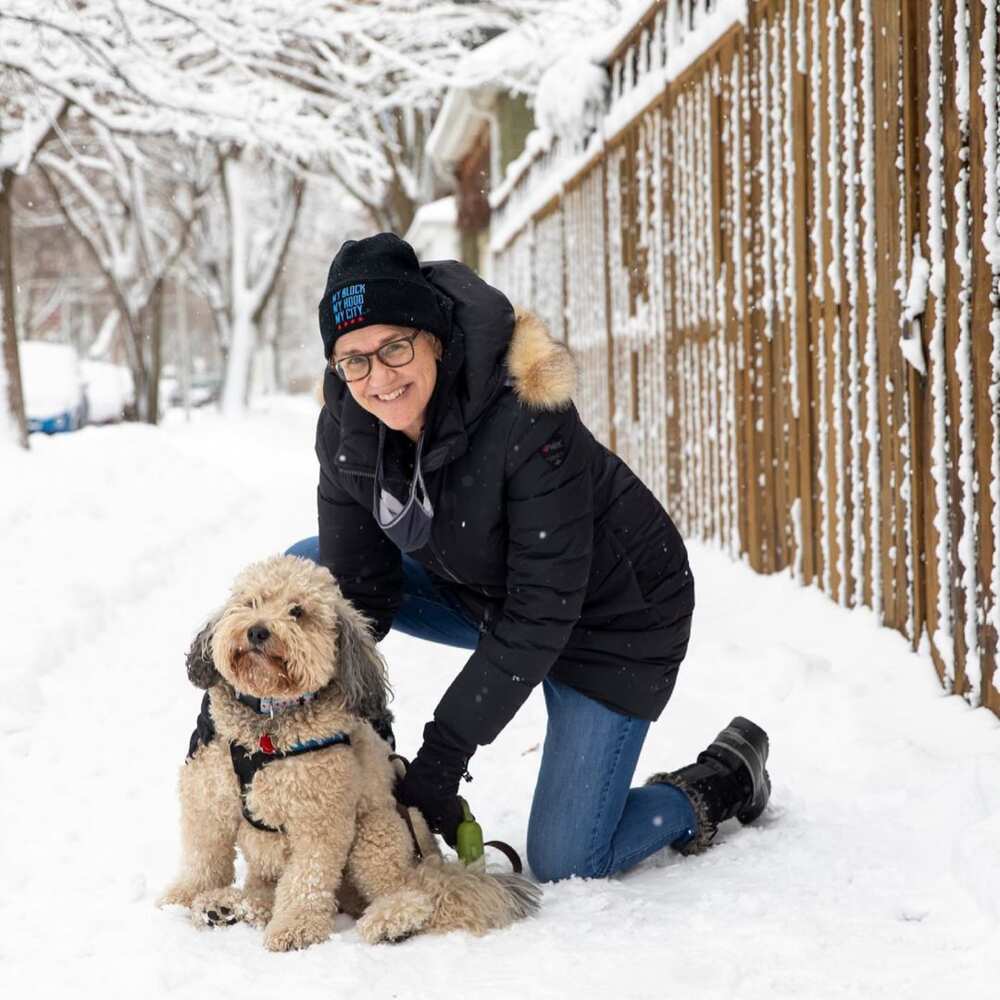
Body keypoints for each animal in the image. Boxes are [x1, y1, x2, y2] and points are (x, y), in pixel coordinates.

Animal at [158, 556, 540, 952]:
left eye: (298, 611)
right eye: (250, 602)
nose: (258, 632)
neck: (269, 724)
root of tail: (433, 865)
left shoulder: (320, 820)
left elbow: (306, 880)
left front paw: (295, 929)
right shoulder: (208, 802)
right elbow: (204, 858)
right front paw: (182, 898)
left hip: (378, 832)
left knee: (412, 894)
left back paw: (392, 920)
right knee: (268, 891)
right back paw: (226, 906)